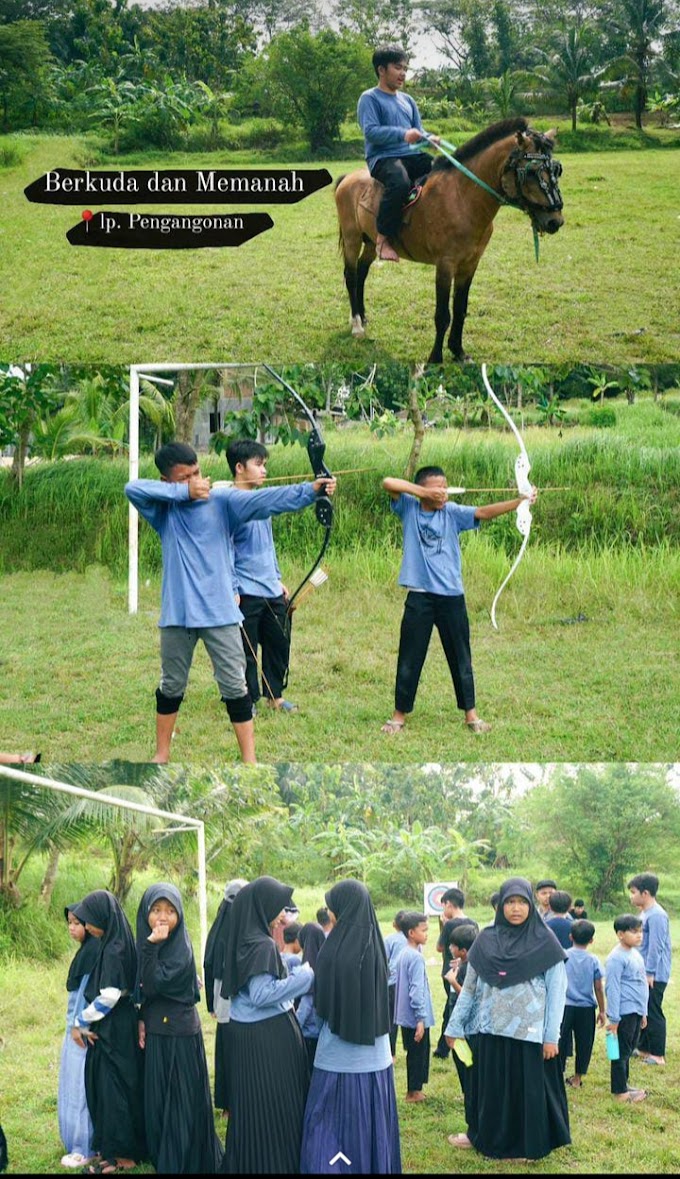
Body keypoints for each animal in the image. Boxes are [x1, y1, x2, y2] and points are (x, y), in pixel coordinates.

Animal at [334, 118, 560, 363]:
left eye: (557, 170)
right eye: (532, 171)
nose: (555, 221)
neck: (462, 198)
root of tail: (347, 178)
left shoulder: (470, 264)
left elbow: (460, 308)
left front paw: (458, 351)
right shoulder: (445, 264)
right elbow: (443, 315)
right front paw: (435, 358)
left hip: (371, 242)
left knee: (362, 272)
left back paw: (362, 316)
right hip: (352, 238)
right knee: (351, 276)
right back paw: (356, 324)